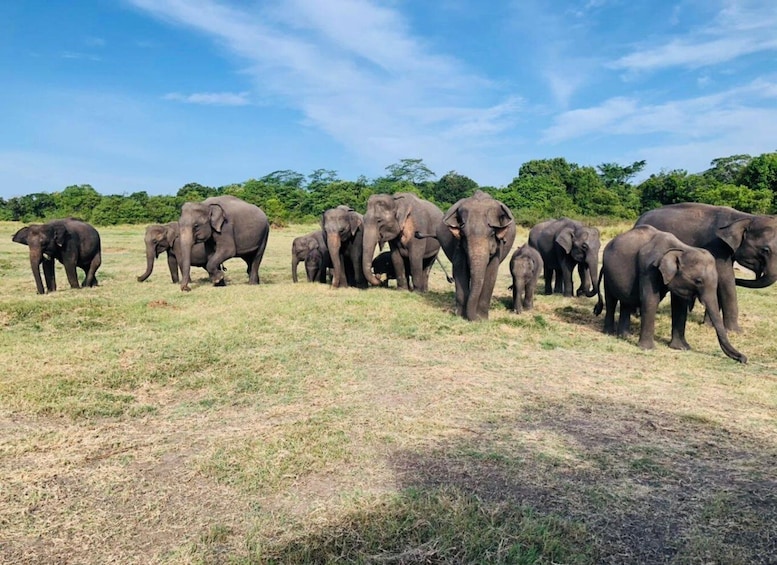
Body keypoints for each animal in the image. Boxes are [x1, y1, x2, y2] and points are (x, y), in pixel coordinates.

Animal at [418, 191, 516, 320]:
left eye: (492, 234)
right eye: (463, 234)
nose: (475, 317)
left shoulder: (499, 247)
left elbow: (491, 273)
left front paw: (482, 319)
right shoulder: (458, 245)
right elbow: (459, 270)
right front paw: (460, 316)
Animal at [596, 223, 744, 364]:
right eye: (698, 281)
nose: (743, 359)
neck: (681, 249)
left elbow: (679, 304)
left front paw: (682, 348)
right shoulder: (648, 268)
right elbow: (650, 300)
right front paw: (648, 349)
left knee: (626, 302)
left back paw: (624, 336)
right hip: (608, 272)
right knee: (611, 300)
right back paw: (609, 333)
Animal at [632, 202, 776, 330]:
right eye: (765, 250)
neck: (745, 217)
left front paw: (708, 325)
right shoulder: (716, 246)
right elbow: (726, 279)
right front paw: (735, 331)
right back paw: (636, 315)